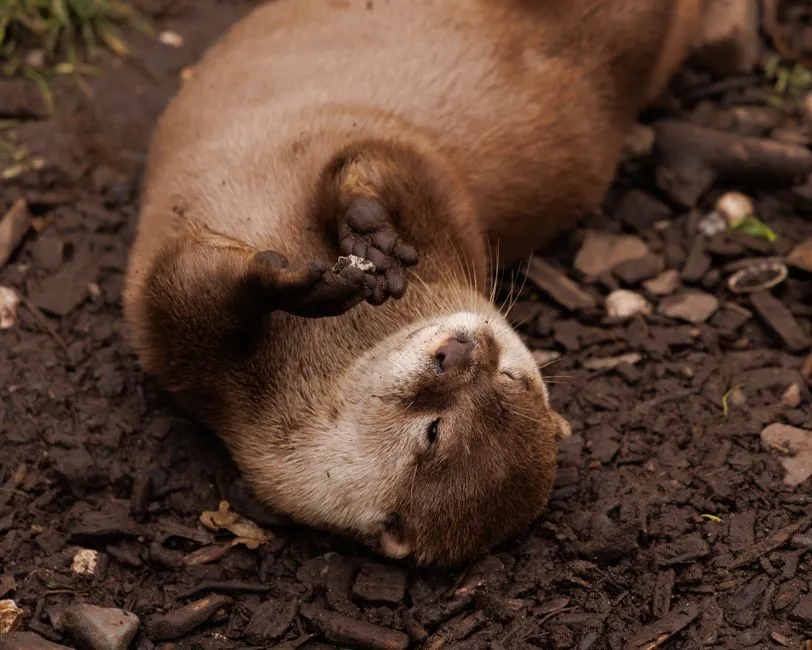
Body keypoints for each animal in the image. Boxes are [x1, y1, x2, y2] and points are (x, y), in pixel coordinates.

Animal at [123, 0, 704, 566]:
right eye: (514, 377)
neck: (332, 347)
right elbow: (377, 162)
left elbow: (181, 292)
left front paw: (299, 285)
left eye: (434, 433)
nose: (464, 350)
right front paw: (363, 240)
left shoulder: (190, 360)